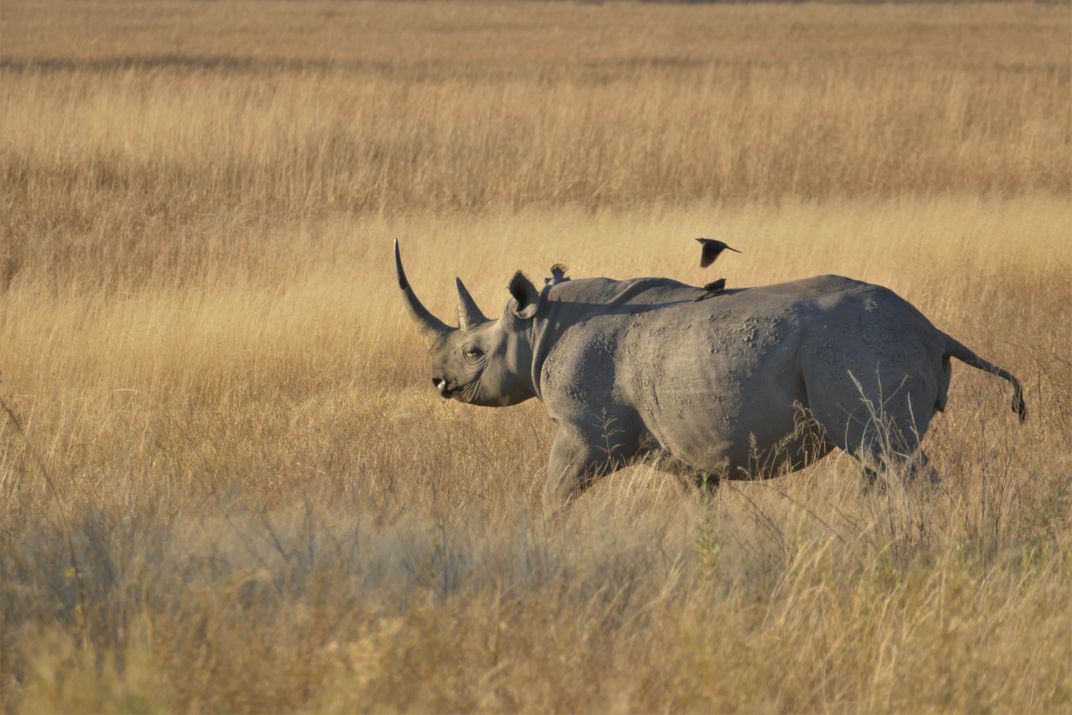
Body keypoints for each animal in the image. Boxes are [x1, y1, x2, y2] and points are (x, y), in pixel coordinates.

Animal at [394, 241, 1026, 510]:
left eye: (473, 352)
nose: (437, 382)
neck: (539, 326)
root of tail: (934, 332)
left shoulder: (585, 430)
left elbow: (556, 489)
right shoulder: (689, 447)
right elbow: (699, 505)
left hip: (862, 346)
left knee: (888, 454)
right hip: (874, 347)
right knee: (878, 458)